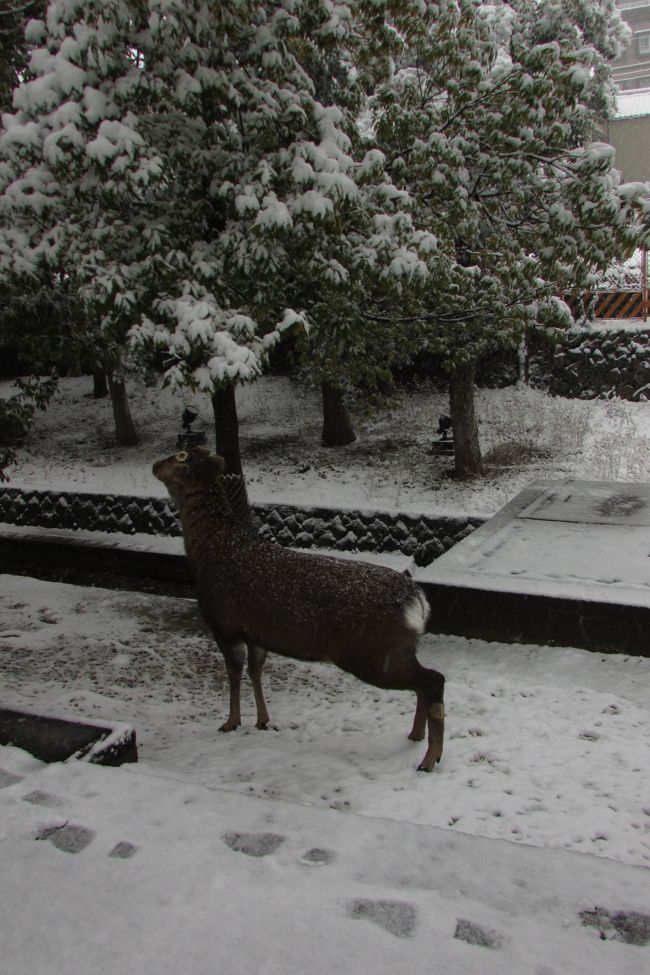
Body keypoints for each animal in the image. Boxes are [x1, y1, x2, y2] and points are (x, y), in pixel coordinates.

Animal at [153, 446, 445, 771]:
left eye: (180, 456)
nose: (154, 465)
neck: (208, 554)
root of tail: (417, 600)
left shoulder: (223, 624)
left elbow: (233, 673)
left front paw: (230, 722)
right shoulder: (256, 632)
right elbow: (255, 670)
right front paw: (263, 720)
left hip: (374, 653)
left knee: (434, 680)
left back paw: (429, 759)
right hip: (394, 650)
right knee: (425, 681)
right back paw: (416, 736)